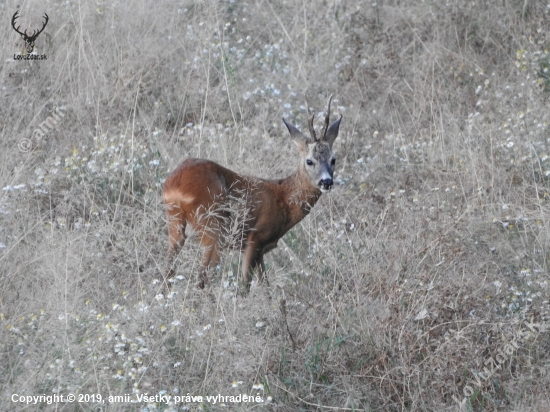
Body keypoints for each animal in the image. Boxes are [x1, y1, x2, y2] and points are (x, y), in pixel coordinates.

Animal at [164, 95, 342, 292]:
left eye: (333, 159)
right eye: (309, 161)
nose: (326, 182)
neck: (283, 199)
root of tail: (175, 184)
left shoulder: (261, 249)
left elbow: (265, 285)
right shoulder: (254, 238)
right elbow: (245, 286)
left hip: (176, 222)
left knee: (169, 271)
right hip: (213, 227)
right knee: (202, 278)